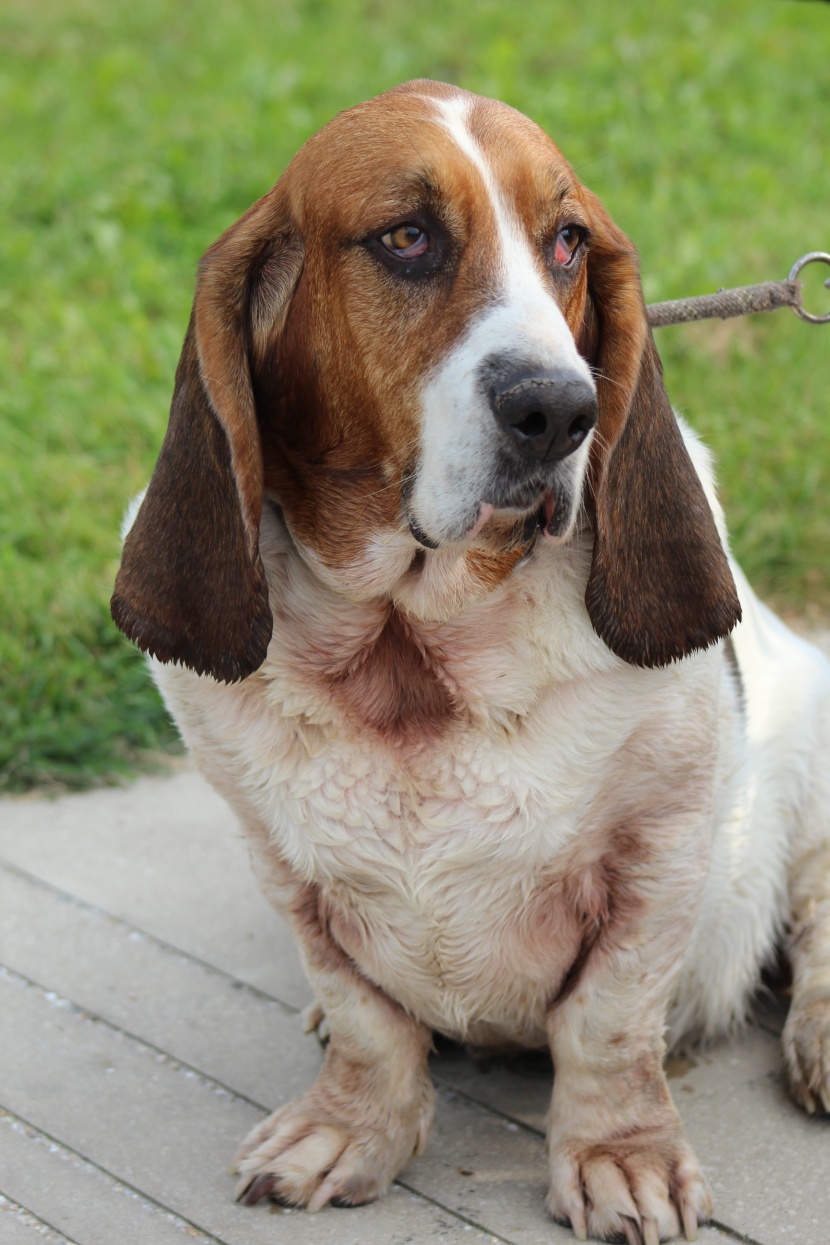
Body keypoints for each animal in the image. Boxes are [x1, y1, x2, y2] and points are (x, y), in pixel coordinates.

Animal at [111, 82, 830, 1240]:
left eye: (567, 241)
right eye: (406, 238)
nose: (561, 408)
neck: (412, 647)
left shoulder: (660, 854)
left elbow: (608, 1023)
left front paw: (619, 1159)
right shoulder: (283, 865)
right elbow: (366, 1015)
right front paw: (351, 1129)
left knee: (814, 918)